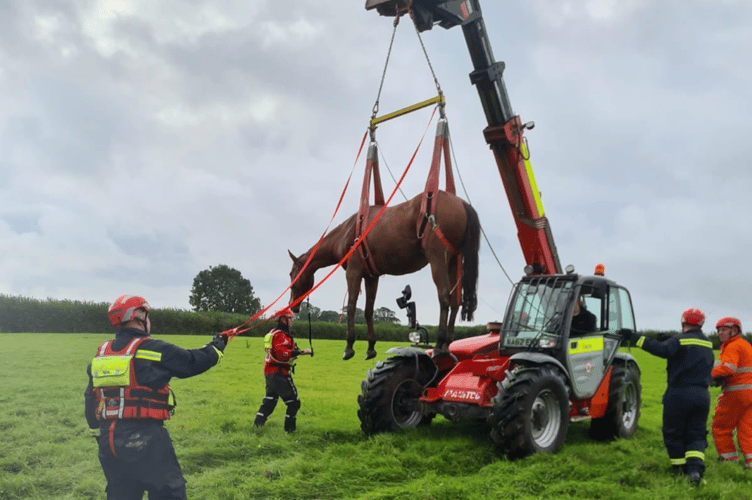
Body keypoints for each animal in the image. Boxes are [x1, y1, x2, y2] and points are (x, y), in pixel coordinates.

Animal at [288, 190, 482, 360]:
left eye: (291, 274)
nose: (292, 307)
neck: (347, 233)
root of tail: (462, 203)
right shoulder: (371, 277)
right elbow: (368, 310)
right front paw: (371, 347)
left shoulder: (353, 272)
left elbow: (351, 306)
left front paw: (349, 346)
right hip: (454, 261)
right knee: (455, 301)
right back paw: (447, 344)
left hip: (438, 259)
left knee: (444, 298)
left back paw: (439, 344)